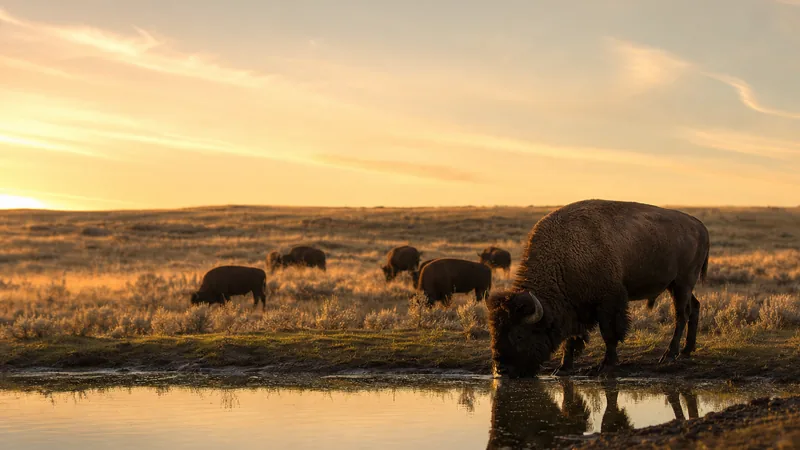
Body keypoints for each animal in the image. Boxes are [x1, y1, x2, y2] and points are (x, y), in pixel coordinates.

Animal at [486, 199, 710, 378]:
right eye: (494, 332)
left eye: (519, 335)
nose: (502, 370)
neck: (564, 256)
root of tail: (699, 225)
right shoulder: (575, 308)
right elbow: (572, 338)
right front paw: (562, 368)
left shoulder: (608, 302)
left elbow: (609, 334)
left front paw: (605, 366)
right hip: (677, 286)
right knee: (695, 307)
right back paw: (687, 350)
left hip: (682, 282)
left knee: (681, 315)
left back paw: (669, 355)